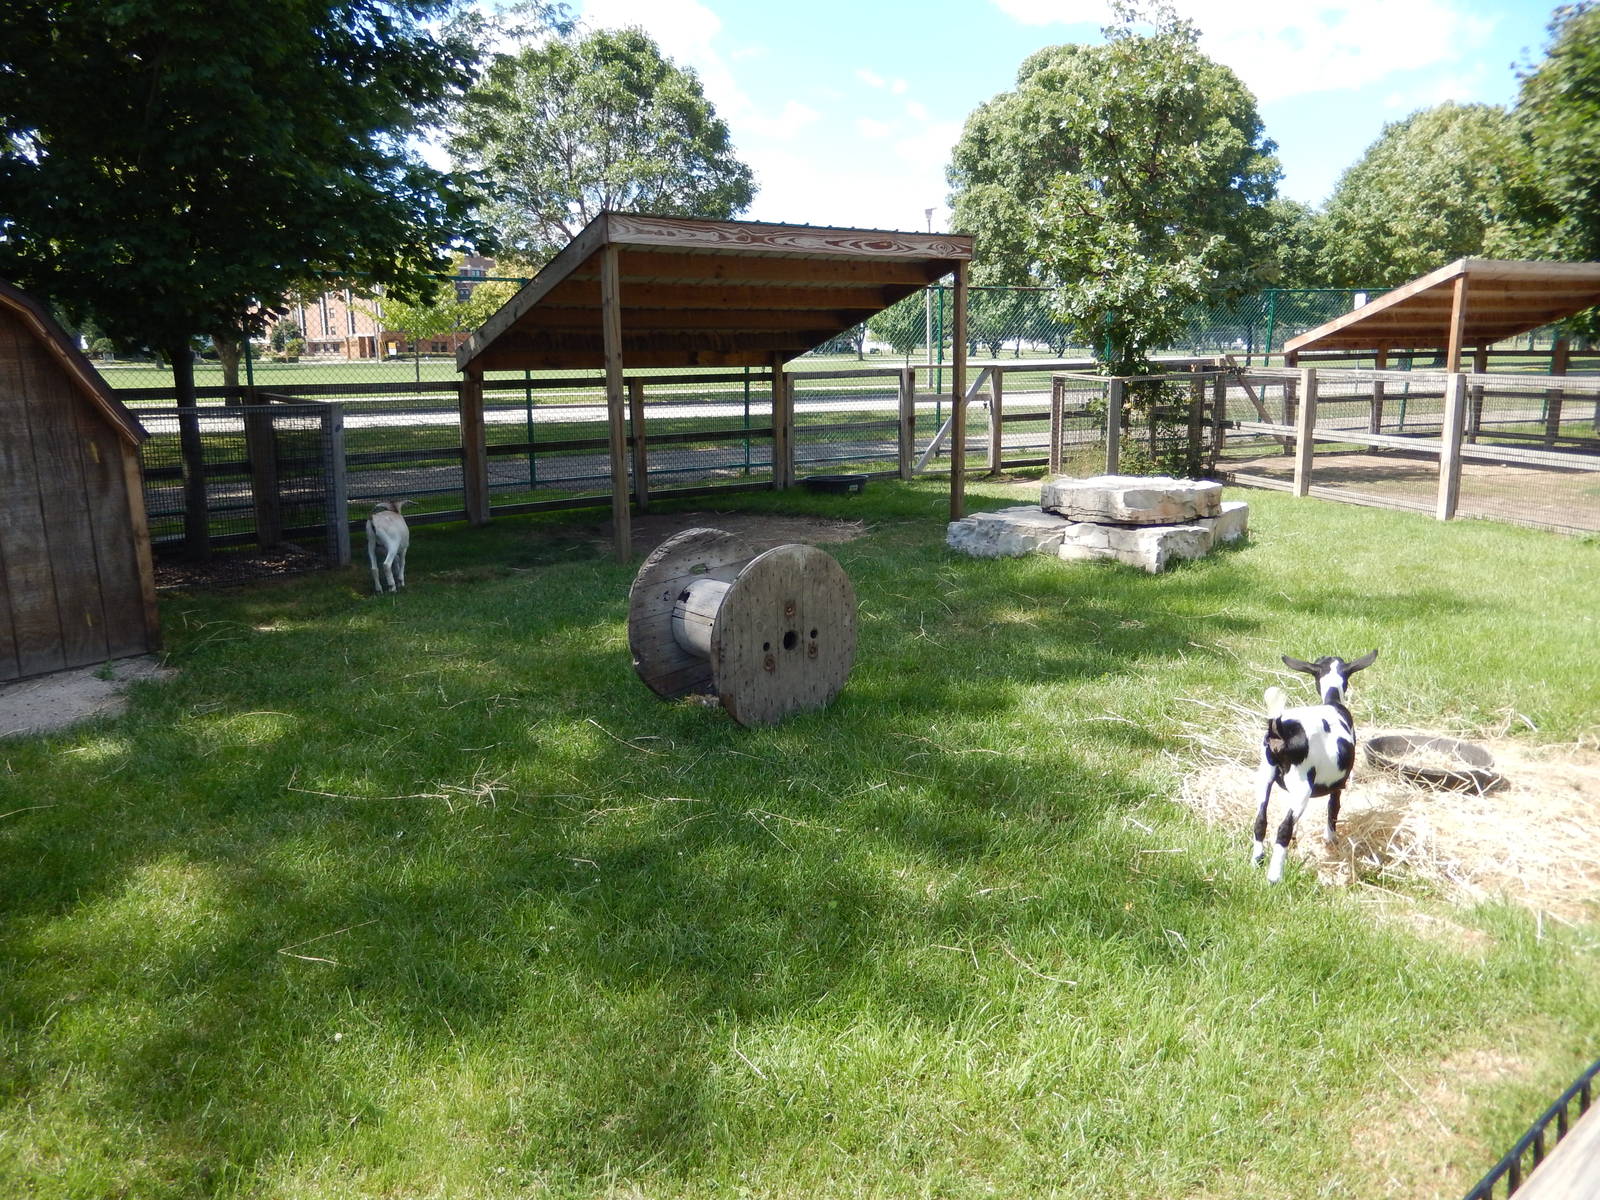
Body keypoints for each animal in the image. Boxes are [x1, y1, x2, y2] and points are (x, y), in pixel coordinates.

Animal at [1251, 650, 1377, 883]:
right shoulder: (1338, 784)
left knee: (1260, 820)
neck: (1333, 700)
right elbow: (1333, 809)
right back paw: (1274, 877)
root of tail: (1279, 728)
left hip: (1264, 776)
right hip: (1302, 785)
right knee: (1283, 828)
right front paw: (1331, 839)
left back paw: (1256, 861)